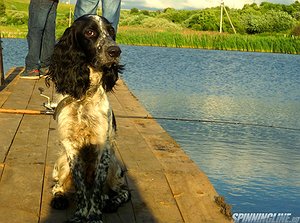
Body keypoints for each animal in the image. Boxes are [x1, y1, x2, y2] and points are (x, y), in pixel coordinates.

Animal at [46, 14, 130, 222]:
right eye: (90, 32)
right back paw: (59, 198)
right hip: (61, 162)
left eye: (111, 32)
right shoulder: (70, 145)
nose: (115, 51)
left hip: (114, 166)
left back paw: (110, 202)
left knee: (122, 192)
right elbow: (82, 186)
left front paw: (94, 216)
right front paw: (81, 214)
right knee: (59, 185)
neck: (84, 95)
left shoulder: (103, 147)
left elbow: (96, 189)